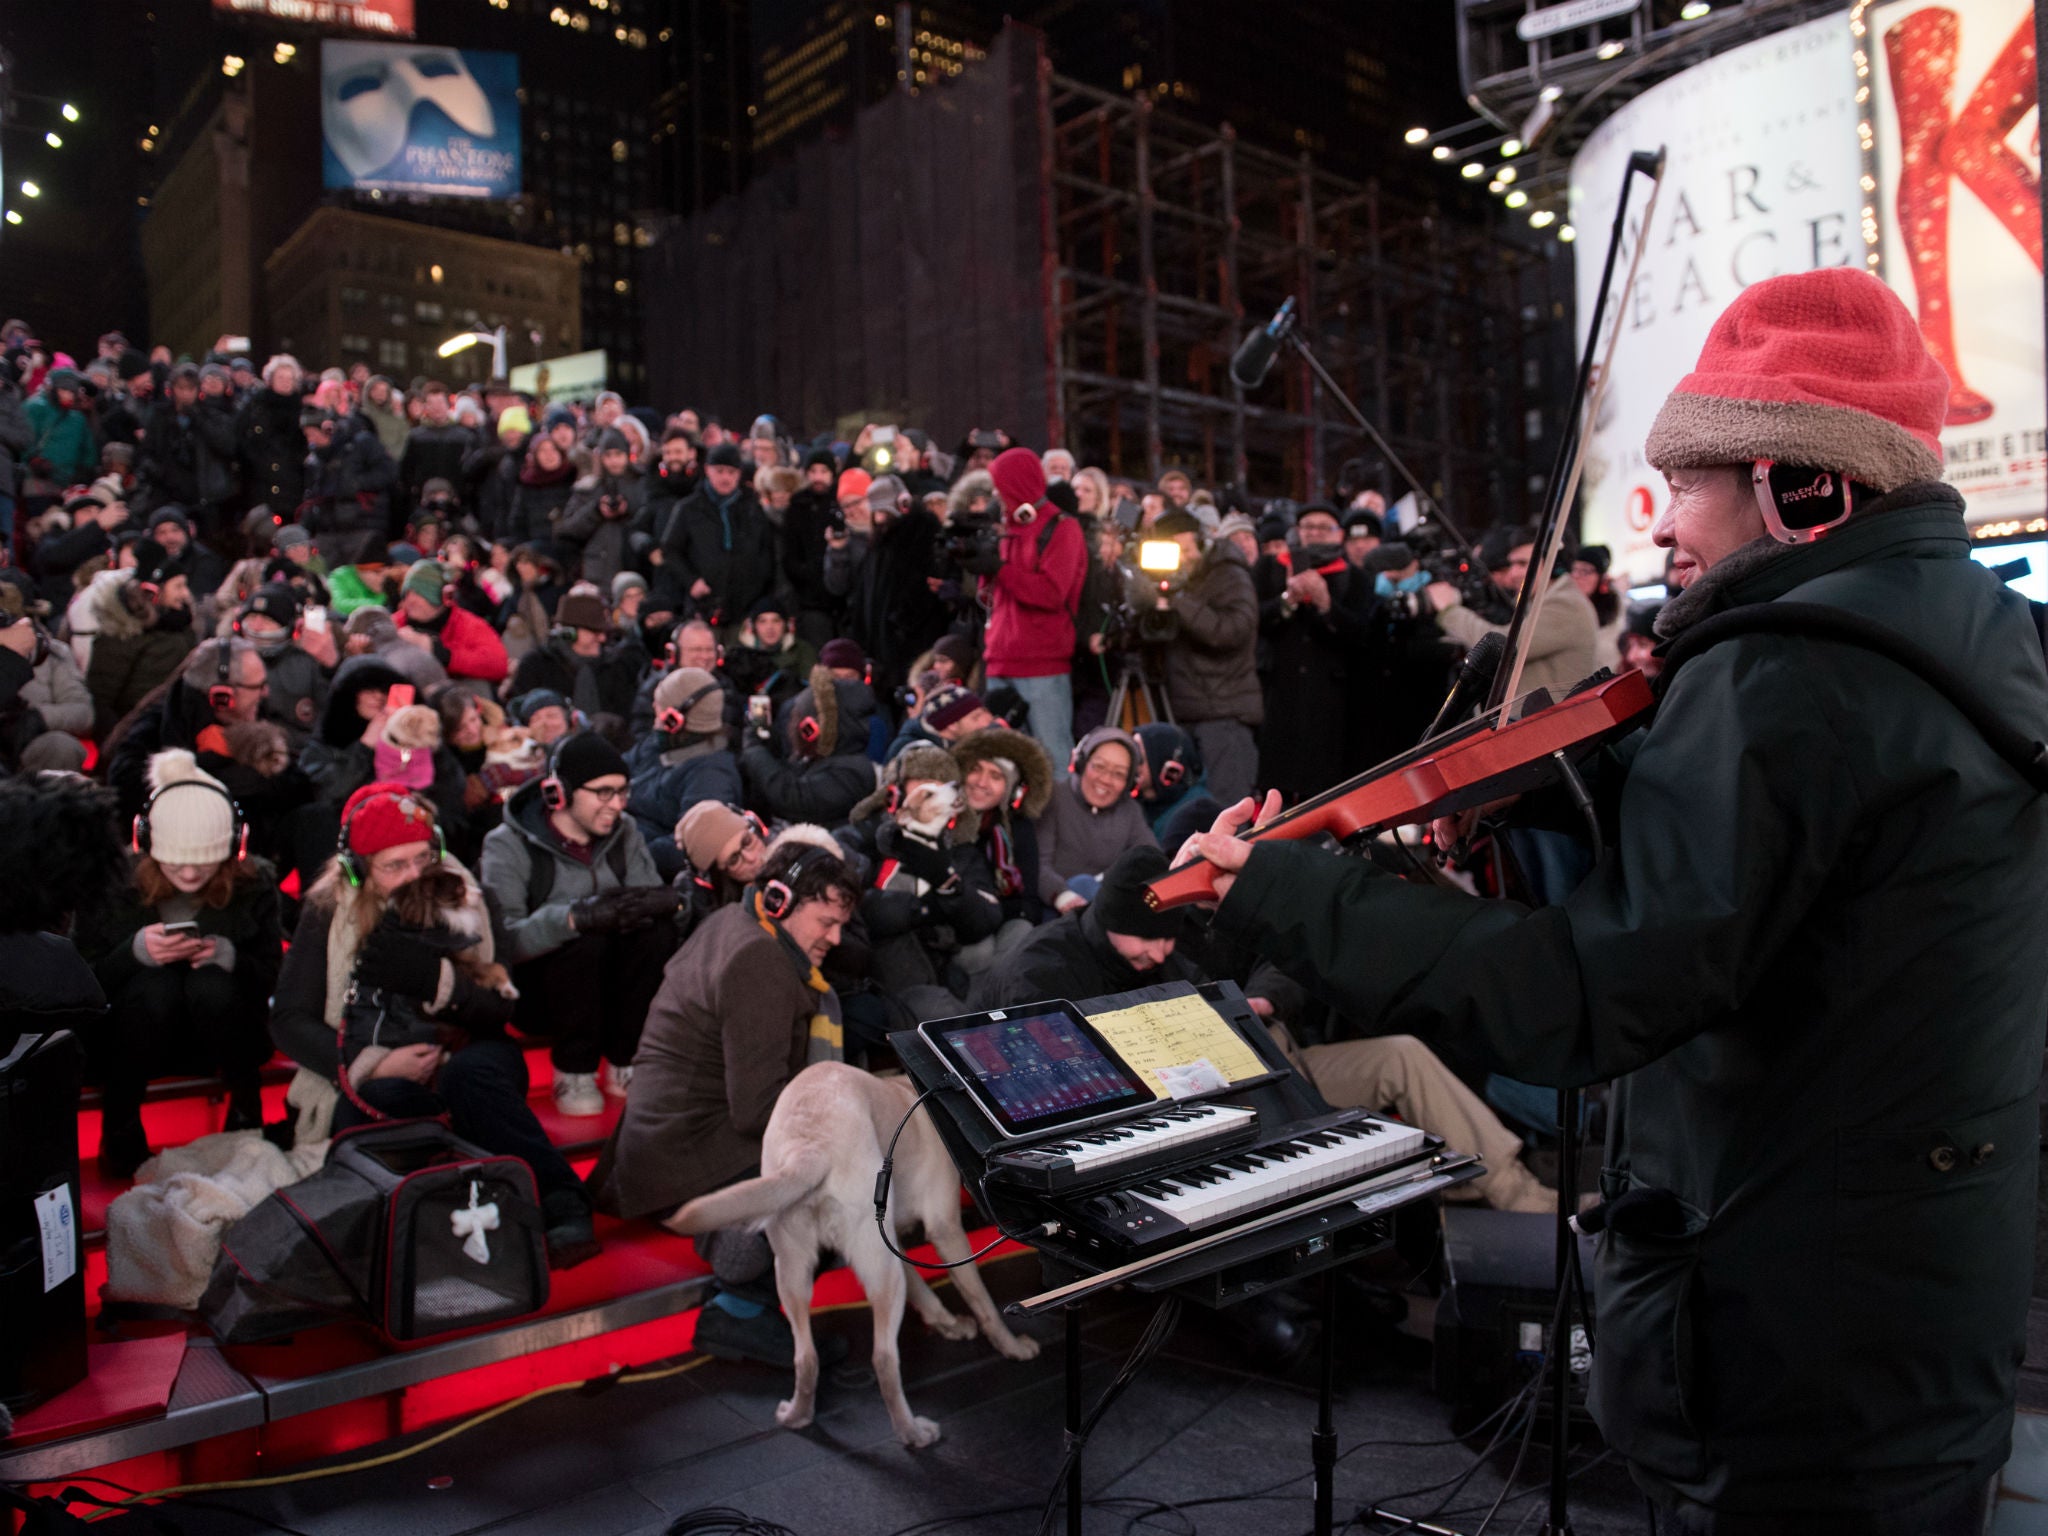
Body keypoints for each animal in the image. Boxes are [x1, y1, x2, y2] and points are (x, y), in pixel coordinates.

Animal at [671, 1064, 1040, 1449]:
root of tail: (810, 1144)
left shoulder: (893, 1246)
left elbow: (922, 1289)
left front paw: (947, 1323)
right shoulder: (945, 1230)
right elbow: (983, 1303)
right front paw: (1012, 1347)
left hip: (795, 1269)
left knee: (806, 1356)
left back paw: (798, 1415)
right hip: (879, 1270)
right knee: (883, 1360)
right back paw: (912, 1433)